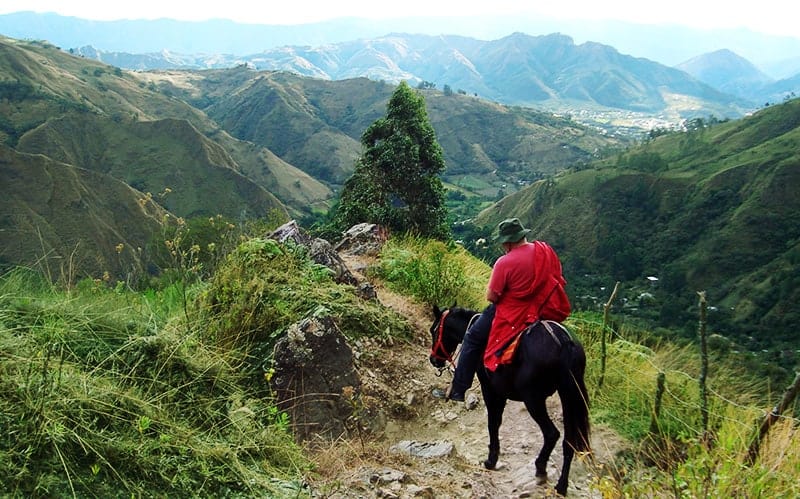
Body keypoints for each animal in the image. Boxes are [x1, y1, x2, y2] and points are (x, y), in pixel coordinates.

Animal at [428, 304, 592, 496]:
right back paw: (561, 486)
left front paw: (491, 460)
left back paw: (541, 468)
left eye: (434, 330)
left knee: (552, 433)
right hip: (568, 396)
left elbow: (493, 423)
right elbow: (496, 422)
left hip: (533, 399)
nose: (434, 360)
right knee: (569, 441)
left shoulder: (490, 389)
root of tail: (564, 342)